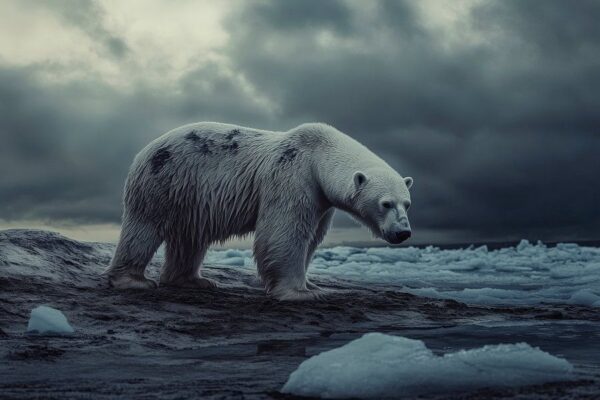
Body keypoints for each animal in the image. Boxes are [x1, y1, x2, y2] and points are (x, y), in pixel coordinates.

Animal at [105, 122, 412, 300]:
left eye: (407, 203)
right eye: (386, 203)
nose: (404, 232)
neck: (319, 154)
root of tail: (145, 149)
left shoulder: (321, 198)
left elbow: (312, 237)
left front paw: (311, 284)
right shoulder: (292, 173)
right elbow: (284, 232)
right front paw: (299, 293)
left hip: (189, 196)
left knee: (190, 237)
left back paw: (193, 281)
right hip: (164, 180)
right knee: (144, 227)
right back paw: (133, 281)